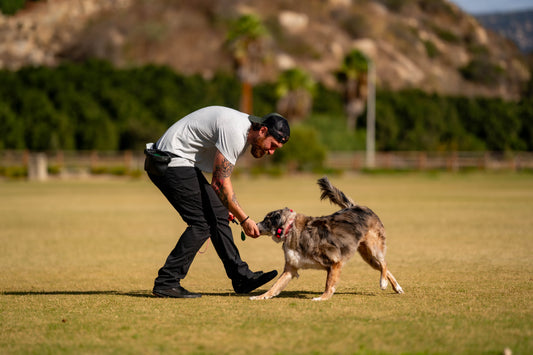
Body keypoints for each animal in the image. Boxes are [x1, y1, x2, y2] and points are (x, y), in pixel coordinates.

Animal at [250, 177, 404, 302]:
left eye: (266, 220)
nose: (255, 225)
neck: (291, 229)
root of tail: (356, 206)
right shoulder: (290, 269)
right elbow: (274, 287)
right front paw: (260, 296)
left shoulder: (335, 262)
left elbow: (329, 284)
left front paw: (323, 298)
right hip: (367, 256)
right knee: (384, 267)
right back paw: (396, 287)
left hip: (373, 248)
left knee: (384, 262)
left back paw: (383, 283)